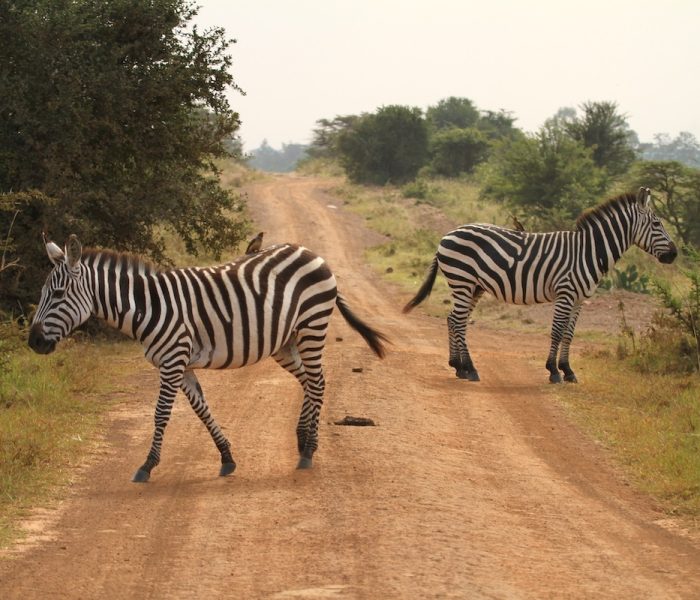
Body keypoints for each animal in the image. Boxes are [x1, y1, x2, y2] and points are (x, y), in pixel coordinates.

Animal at [28, 236, 388, 482]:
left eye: (57, 295)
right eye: (44, 293)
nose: (33, 342)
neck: (149, 307)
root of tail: (311, 252)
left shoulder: (172, 361)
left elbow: (160, 415)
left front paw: (147, 466)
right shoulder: (182, 364)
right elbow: (202, 410)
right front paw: (227, 457)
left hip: (313, 324)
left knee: (317, 381)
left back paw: (310, 449)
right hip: (284, 343)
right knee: (310, 381)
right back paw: (302, 441)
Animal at [404, 188, 680, 384]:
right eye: (657, 224)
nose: (675, 254)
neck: (588, 251)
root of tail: (447, 234)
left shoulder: (580, 299)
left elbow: (569, 334)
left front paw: (568, 370)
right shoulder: (565, 293)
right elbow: (557, 332)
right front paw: (554, 371)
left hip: (473, 286)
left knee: (453, 319)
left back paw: (458, 366)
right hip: (462, 280)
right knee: (459, 322)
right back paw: (470, 369)